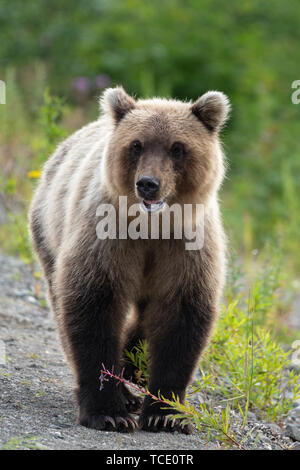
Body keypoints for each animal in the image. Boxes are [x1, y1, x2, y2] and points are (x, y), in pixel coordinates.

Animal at [28, 87, 230, 434]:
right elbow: (94, 308)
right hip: (48, 230)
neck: (152, 227)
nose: (148, 183)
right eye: (136, 145)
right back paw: (126, 394)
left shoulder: (184, 247)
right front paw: (108, 412)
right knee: (63, 309)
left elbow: (180, 316)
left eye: (178, 147)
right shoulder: (107, 237)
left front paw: (166, 414)